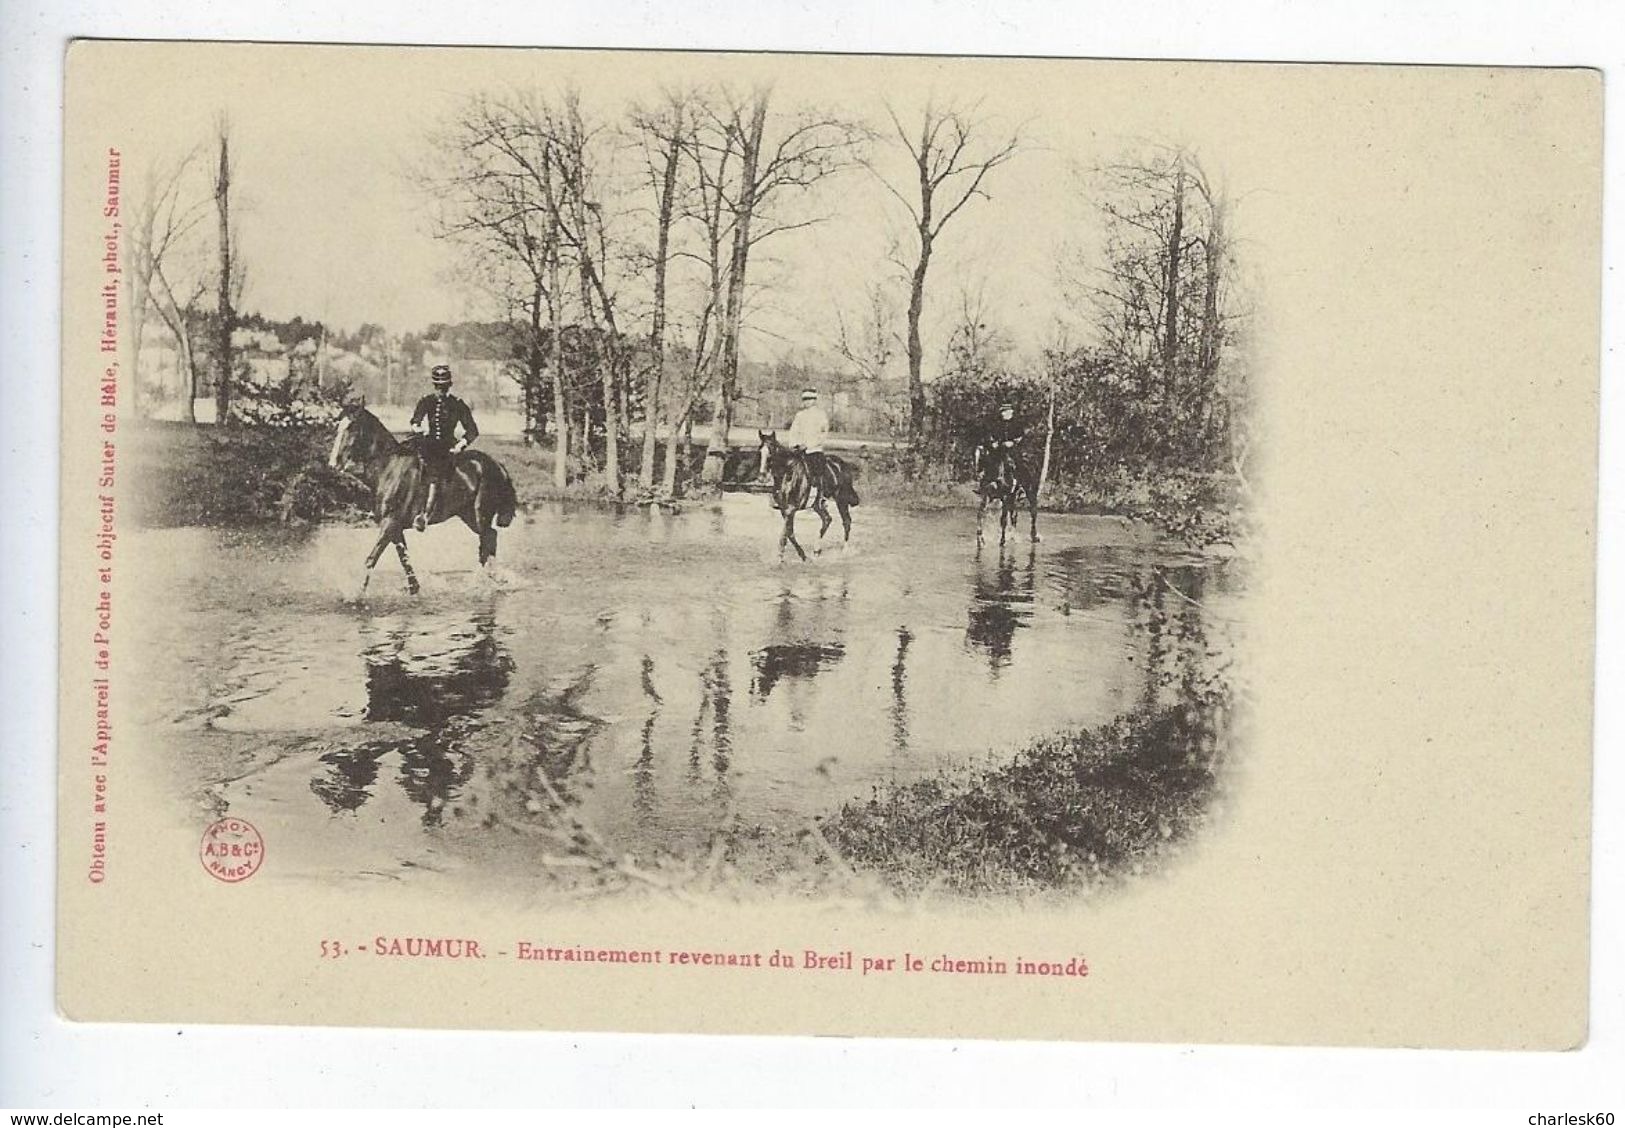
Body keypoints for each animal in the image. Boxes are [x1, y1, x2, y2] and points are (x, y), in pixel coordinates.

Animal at [323, 407, 513, 601]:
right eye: (339, 426)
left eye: (352, 427)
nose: (333, 464)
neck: (389, 468)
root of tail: (497, 464)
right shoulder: (395, 528)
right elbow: (404, 558)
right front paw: (414, 589)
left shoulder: (390, 523)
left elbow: (372, 558)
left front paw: (356, 594)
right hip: (469, 516)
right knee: (490, 538)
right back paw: (491, 578)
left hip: (480, 514)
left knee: (487, 539)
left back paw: (483, 581)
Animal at [760, 432, 864, 562]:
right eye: (760, 451)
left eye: (771, 452)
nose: (762, 477)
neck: (788, 474)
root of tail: (841, 464)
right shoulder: (784, 509)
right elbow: (789, 532)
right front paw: (797, 555)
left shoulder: (791, 509)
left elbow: (787, 532)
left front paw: (783, 556)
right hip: (818, 505)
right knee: (827, 519)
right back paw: (816, 550)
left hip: (841, 500)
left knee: (846, 521)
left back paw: (844, 551)